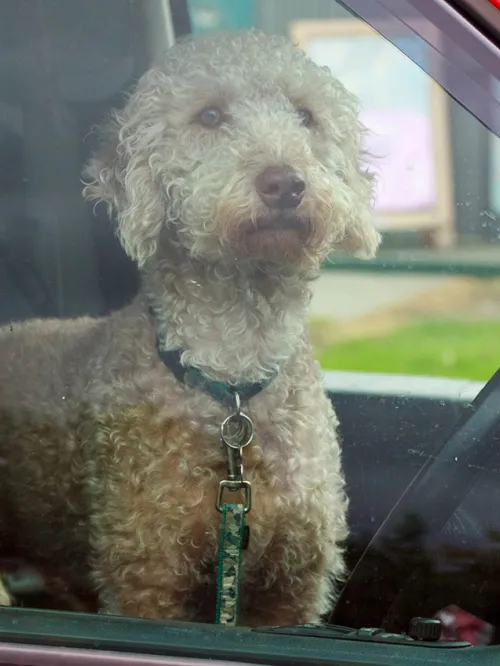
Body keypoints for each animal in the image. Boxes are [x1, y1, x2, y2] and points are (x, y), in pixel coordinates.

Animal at [0, 29, 376, 624]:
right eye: (210, 115)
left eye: (305, 115)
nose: (285, 183)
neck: (233, 378)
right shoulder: (144, 574)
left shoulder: (294, 583)